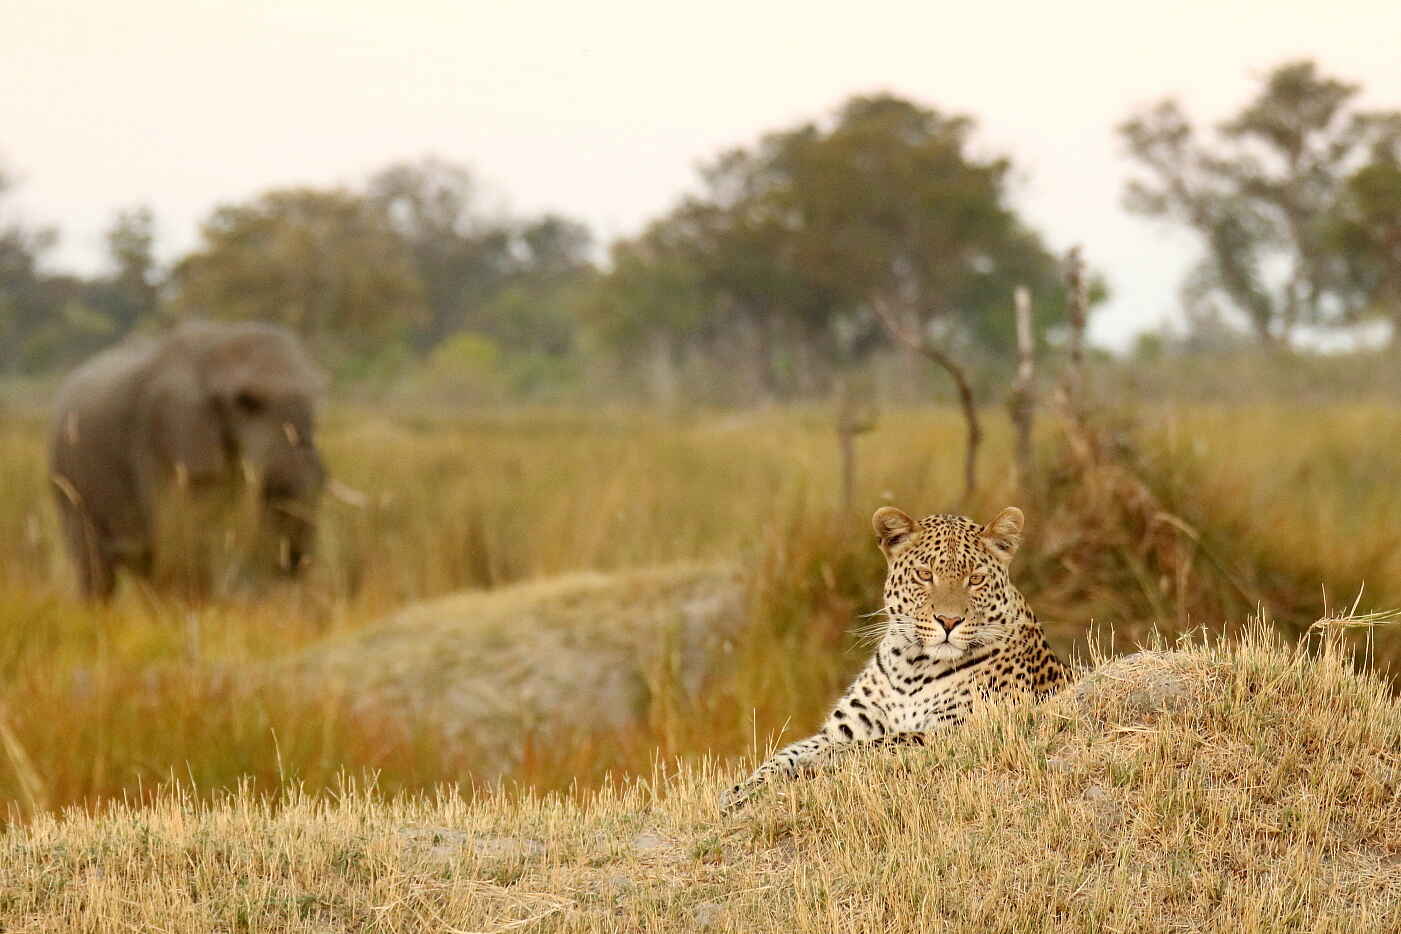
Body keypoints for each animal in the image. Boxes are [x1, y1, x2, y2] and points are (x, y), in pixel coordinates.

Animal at [49, 320, 327, 599]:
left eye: (317, 394)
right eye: (246, 402)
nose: (292, 567)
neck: (218, 343)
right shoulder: (162, 432)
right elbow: (188, 528)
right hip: (68, 483)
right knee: (97, 571)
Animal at [722, 504, 1073, 811]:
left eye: (975, 579)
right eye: (924, 575)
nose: (949, 621)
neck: (913, 666)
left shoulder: (959, 728)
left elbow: (880, 742)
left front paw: (818, 763)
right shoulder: (843, 727)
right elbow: (786, 753)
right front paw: (740, 790)